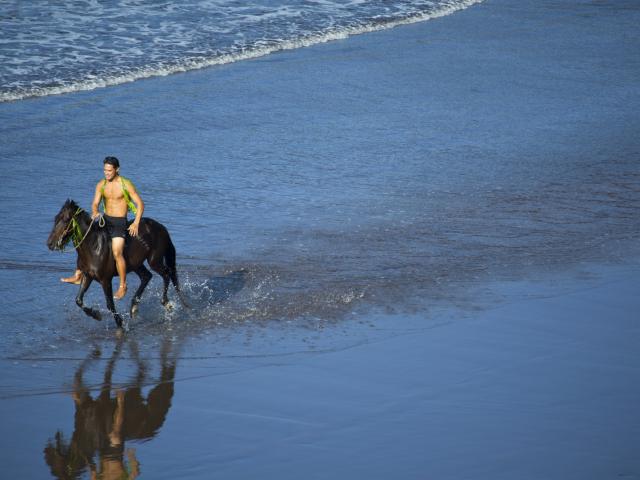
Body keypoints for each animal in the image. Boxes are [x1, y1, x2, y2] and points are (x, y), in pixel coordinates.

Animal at [47, 198, 185, 326]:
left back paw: (166, 303)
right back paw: (134, 307)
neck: (93, 247)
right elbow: (78, 300)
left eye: (66, 219)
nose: (50, 244)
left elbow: (110, 304)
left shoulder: (105, 280)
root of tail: (161, 227)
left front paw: (119, 322)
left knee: (166, 274)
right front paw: (96, 315)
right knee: (147, 276)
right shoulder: (88, 276)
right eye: (56, 218)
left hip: (154, 260)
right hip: (136, 264)